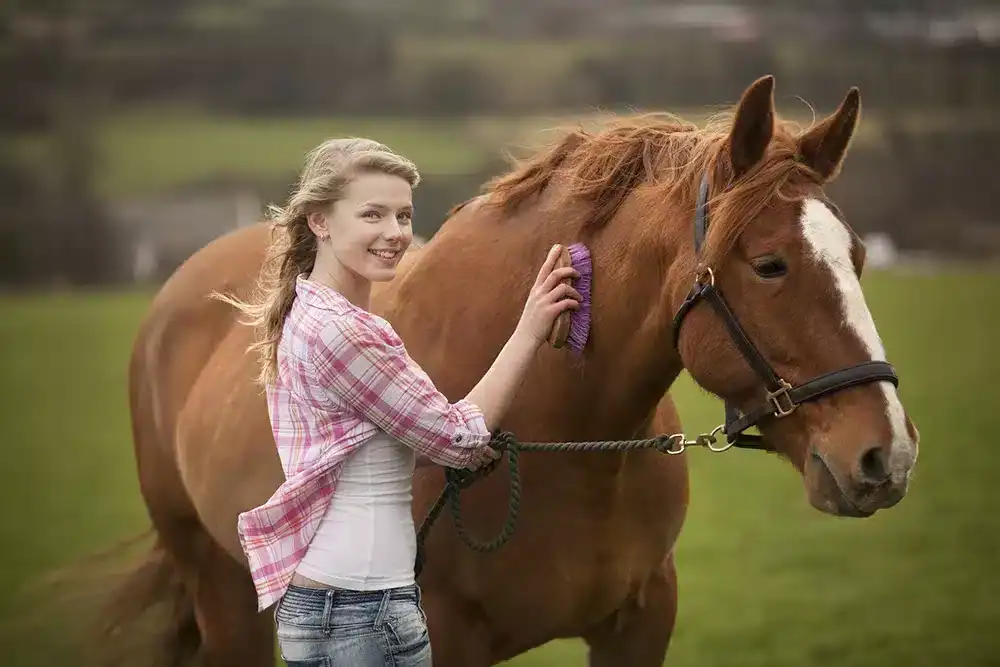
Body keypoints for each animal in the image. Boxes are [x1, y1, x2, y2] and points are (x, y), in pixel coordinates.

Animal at [89, 75, 918, 667]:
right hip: (222, 591)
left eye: (858, 256)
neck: (567, 439)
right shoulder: (443, 637)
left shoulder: (640, 620)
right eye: (770, 264)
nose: (888, 454)